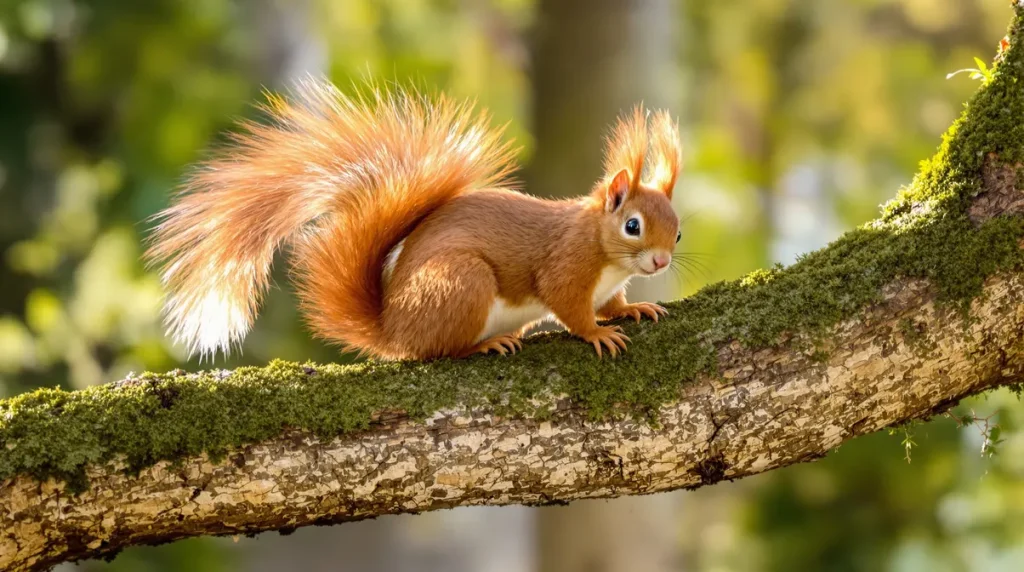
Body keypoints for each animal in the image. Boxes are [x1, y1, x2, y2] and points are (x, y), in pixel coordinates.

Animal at [146, 78, 682, 361]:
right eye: (632, 225)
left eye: (677, 232)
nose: (659, 263)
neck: (605, 252)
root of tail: (395, 330)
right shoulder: (566, 266)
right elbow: (569, 306)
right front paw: (596, 332)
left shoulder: (606, 284)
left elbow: (611, 302)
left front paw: (632, 309)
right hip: (460, 284)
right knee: (439, 350)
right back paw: (486, 345)